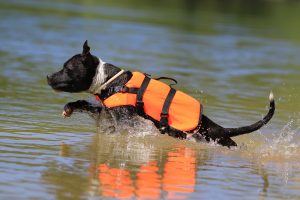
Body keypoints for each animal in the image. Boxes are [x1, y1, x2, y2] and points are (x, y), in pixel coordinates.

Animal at [47, 40, 274, 147]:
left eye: (67, 68)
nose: (48, 76)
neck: (110, 81)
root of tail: (220, 129)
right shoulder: (107, 112)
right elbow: (87, 105)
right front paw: (70, 107)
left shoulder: (131, 122)